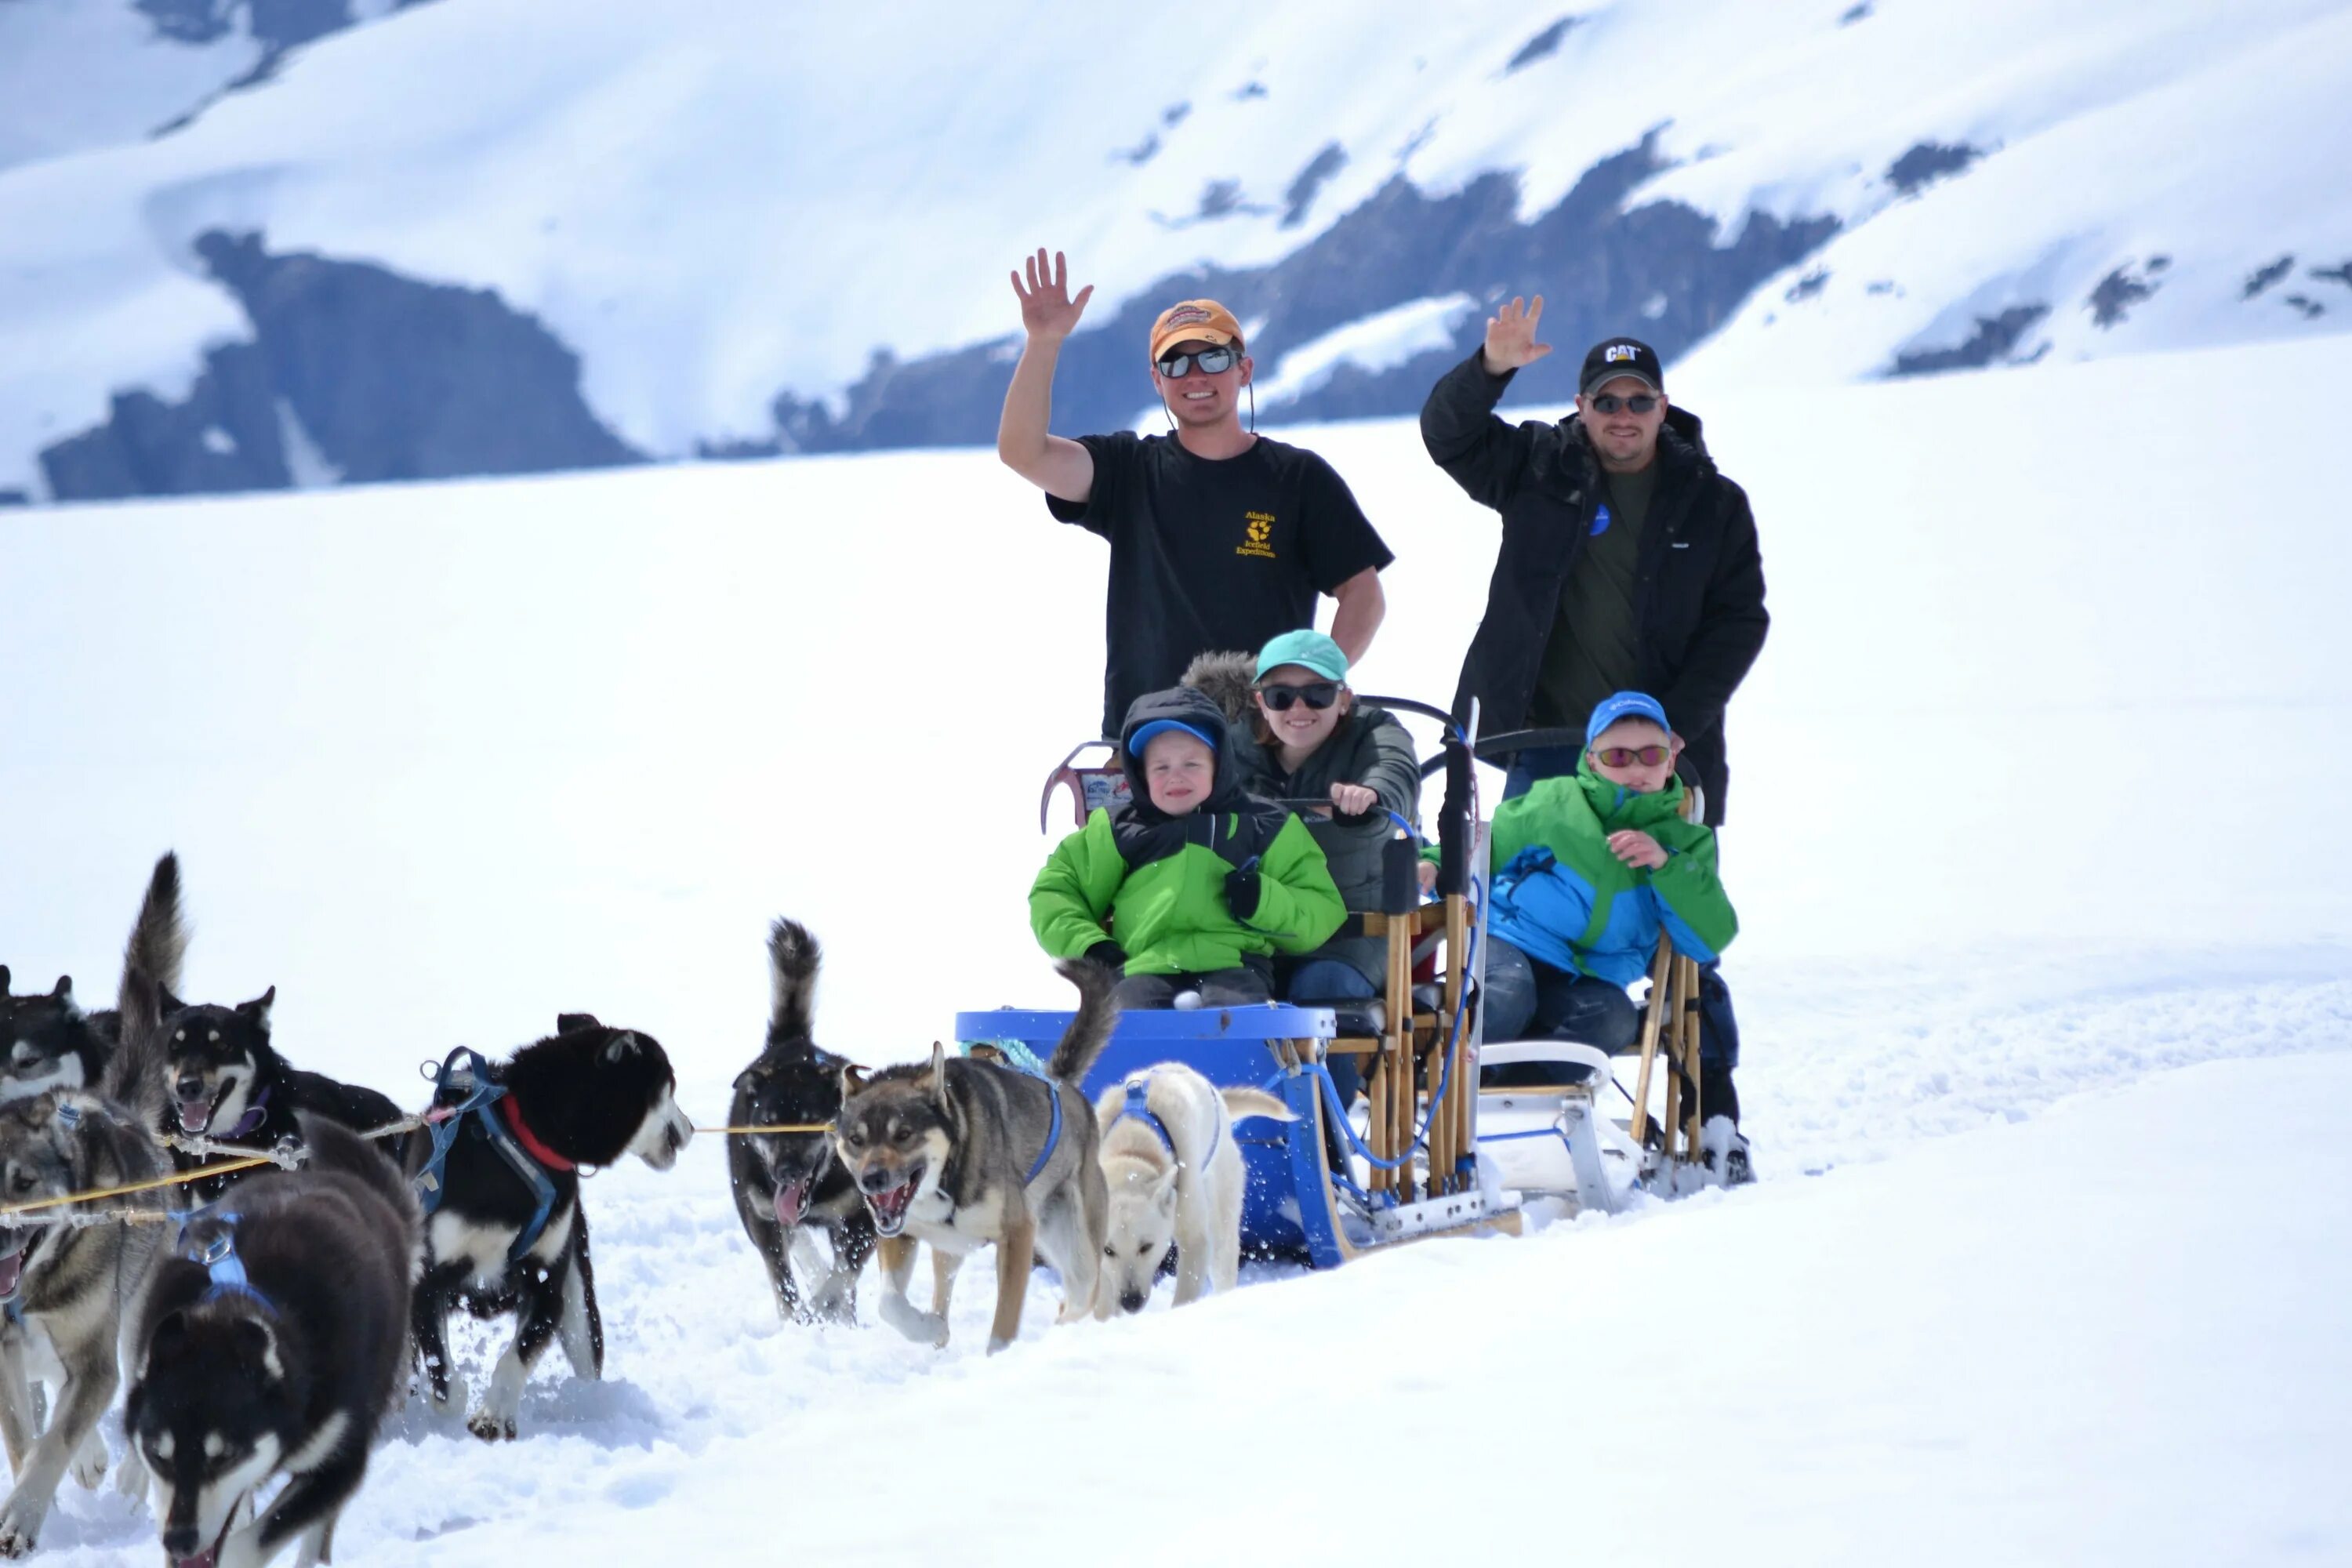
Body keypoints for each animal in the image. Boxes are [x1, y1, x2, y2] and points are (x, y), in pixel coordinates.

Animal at [405, 1020, 691, 1448]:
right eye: (670, 1086)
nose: (691, 1128)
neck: (520, 1144)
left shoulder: (546, 1282)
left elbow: (514, 1360)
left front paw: (493, 1416)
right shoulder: (427, 1278)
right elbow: (446, 1382)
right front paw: (454, 1404)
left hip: (580, 1306)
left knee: (587, 1361)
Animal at [724, 926, 875, 1335]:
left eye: (810, 1121)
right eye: (768, 1122)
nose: (787, 1172)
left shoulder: (861, 1222)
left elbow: (839, 1282)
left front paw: (825, 1314)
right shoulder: (761, 1218)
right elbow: (783, 1279)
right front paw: (798, 1319)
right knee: (800, 1244)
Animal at [837, 959, 1110, 1354]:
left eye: (903, 1135)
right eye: (855, 1140)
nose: (871, 1179)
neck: (945, 1180)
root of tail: (1059, 1084)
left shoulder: (1017, 1234)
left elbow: (1004, 1326)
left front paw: (998, 1359)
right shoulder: (899, 1233)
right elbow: (889, 1303)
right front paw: (927, 1328)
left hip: (1077, 1248)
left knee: (1078, 1297)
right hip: (949, 1248)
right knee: (943, 1292)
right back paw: (938, 1332)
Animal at [1091, 1067, 1298, 1316]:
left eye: (1146, 1246)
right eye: (1108, 1250)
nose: (1131, 1301)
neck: (1131, 1147)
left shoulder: (1194, 1238)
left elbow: (1186, 1293)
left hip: (1221, 1227)